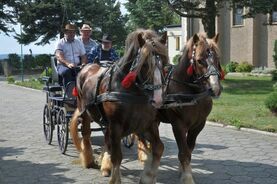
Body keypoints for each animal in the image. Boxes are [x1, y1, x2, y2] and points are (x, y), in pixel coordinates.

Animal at [69, 29, 168, 184]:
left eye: (165, 63)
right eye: (145, 65)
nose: (158, 100)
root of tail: (87, 66)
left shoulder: (147, 123)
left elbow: (158, 147)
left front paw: (147, 176)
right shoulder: (116, 125)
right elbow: (117, 156)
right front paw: (115, 178)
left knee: (106, 138)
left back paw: (104, 164)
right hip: (84, 111)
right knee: (86, 134)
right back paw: (88, 159)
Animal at [137, 32, 223, 183]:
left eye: (217, 59)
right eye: (199, 60)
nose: (215, 89)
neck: (192, 93)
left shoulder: (198, 125)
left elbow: (189, 149)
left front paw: (182, 170)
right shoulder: (178, 125)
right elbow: (183, 152)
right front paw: (187, 177)